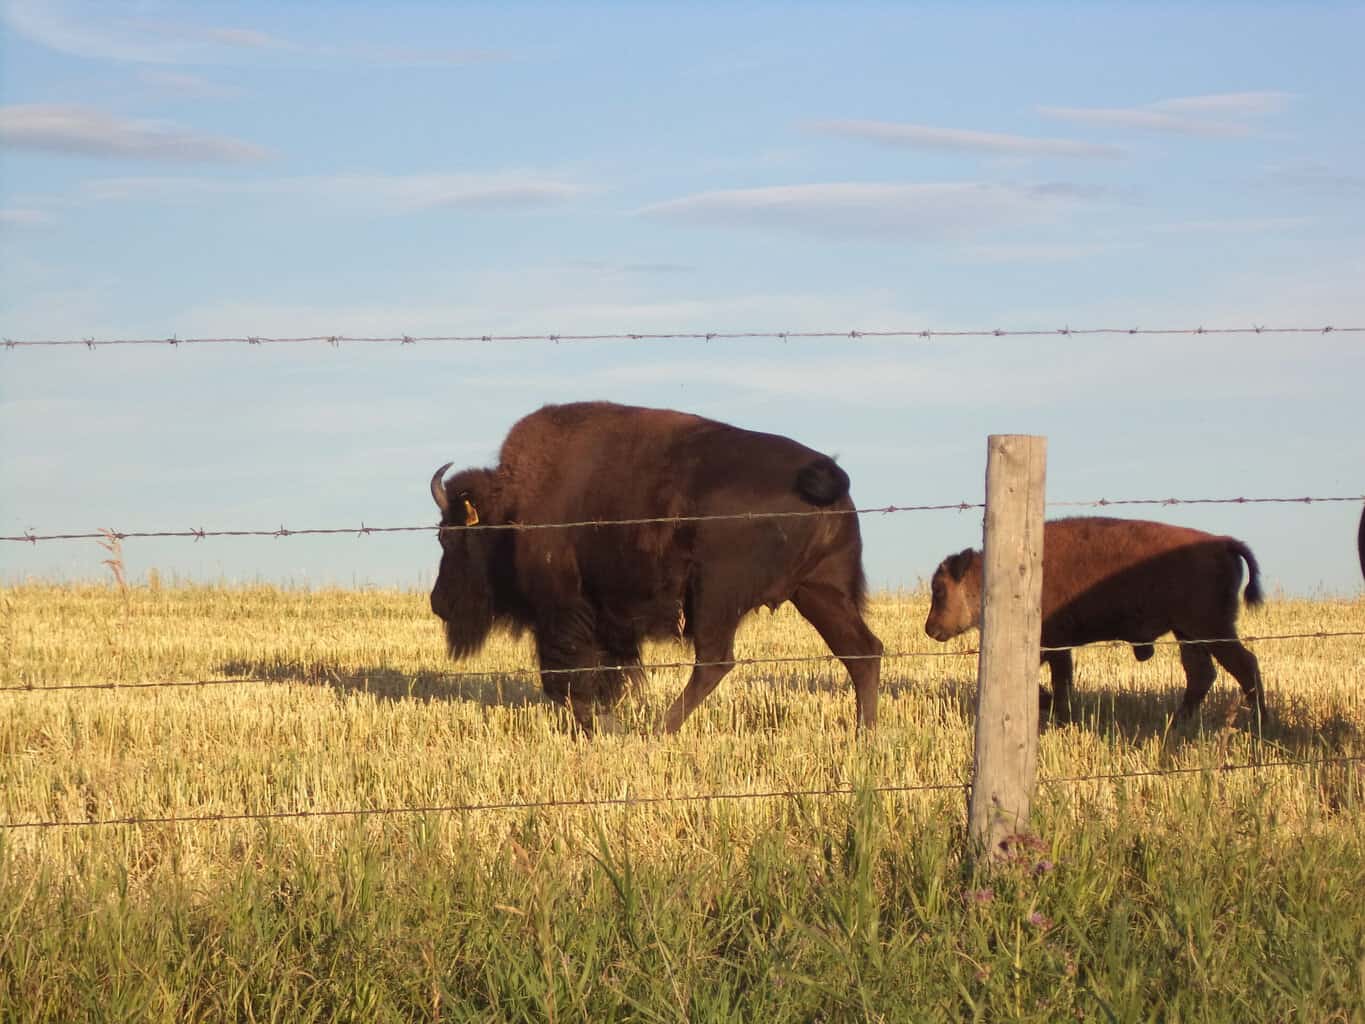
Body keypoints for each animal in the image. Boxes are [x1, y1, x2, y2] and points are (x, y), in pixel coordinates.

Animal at [429, 401, 883, 735]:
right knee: (862, 651)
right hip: (819, 591)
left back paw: (660, 730)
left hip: (718, 595)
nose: (438, 603)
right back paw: (865, 733)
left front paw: (603, 725)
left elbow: (566, 679)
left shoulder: (562, 610)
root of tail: (826, 476)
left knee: (714, 662)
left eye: (449, 539)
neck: (511, 508)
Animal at [924, 516, 1265, 721]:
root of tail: (1223, 541)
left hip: (1210, 628)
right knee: (1201, 674)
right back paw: (1179, 723)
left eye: (939, 590)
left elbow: (1058, 680)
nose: (930, 628)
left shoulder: (1052, 643)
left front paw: (1056, 711)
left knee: (1243, 665)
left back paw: (1260, 721)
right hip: (1188, 633)